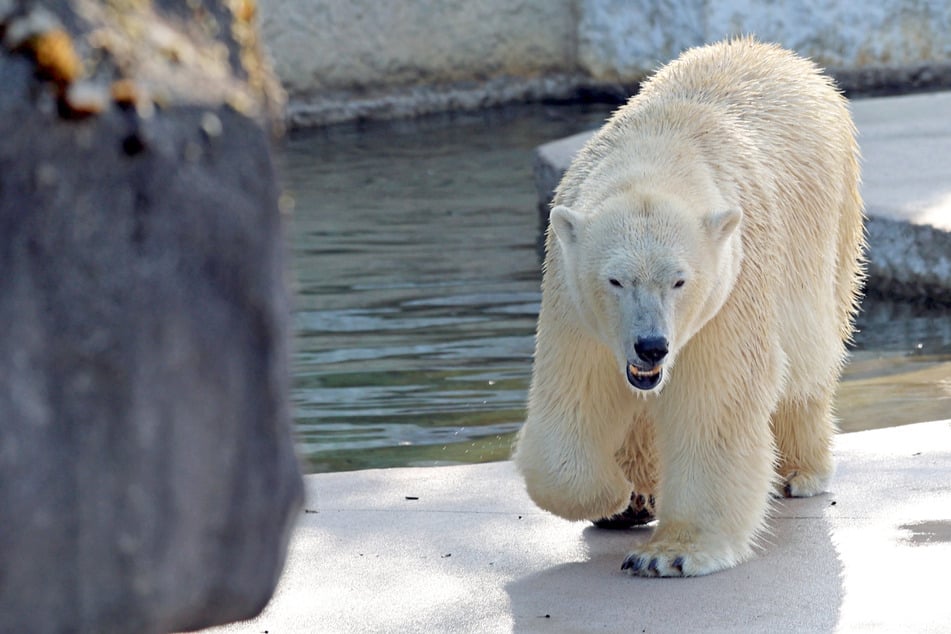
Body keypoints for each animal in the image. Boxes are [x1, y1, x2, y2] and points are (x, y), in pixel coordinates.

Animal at [516, 37, 868, 576]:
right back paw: (636, 496)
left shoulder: (732, 282)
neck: (659, 145)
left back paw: (798, 471)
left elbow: (716, 397)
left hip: (832, 221)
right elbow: (574, 391)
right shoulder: (571, 294)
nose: (652, 346)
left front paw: (670, 554)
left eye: (680, 281)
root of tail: (781, 55)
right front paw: (614, 495)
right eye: (615, 280)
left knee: (809, 361)